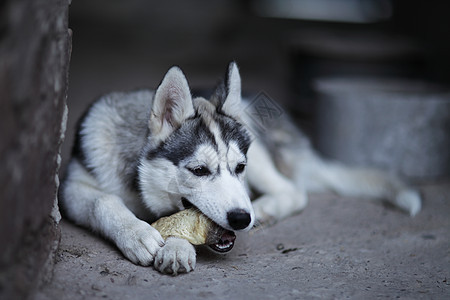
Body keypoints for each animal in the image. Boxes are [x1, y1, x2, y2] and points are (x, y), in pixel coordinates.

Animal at [60, 62, 422, 276]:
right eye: (199, 170)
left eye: (239, 167)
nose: (241, 219)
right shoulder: (71, 187)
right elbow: (103, 201)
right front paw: (136, 234)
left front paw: (176, 246)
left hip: (260, 150)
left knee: (293, 190)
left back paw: (267, 208)